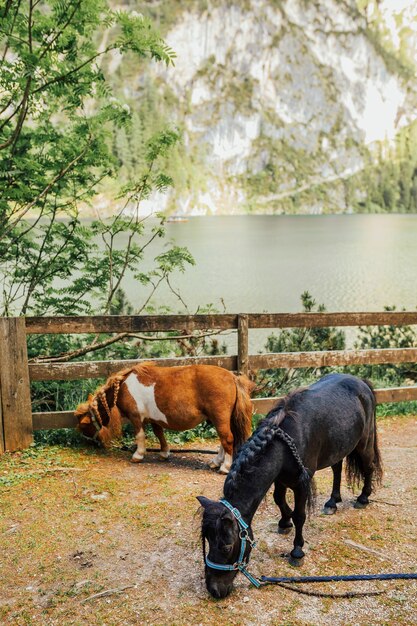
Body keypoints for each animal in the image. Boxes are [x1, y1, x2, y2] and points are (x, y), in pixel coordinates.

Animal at [76, 360, 255, 472]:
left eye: (85, 426)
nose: (91, 445)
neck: (123, 387)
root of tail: (232, 377)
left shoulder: (136, 417)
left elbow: (140, 436)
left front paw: (138, 455)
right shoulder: (153, 418)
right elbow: (159, 434)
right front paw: (164, 453)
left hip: (220, 418)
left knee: (227, 439)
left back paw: (225, 467)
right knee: (223, 441)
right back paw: (216, 462)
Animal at [197, 372, 382, 596]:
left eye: (226, 546)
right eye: (207, 540)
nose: (213, 590)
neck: (287, 440)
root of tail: (361, 381)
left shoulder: (301, 484)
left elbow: (300, 515)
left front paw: (297, 551)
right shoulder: (280, 478)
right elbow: (279, 500)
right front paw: (284, 523)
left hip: (364, 442)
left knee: (369, 465)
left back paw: (363, 498)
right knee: (337, 469)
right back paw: (332, 502)